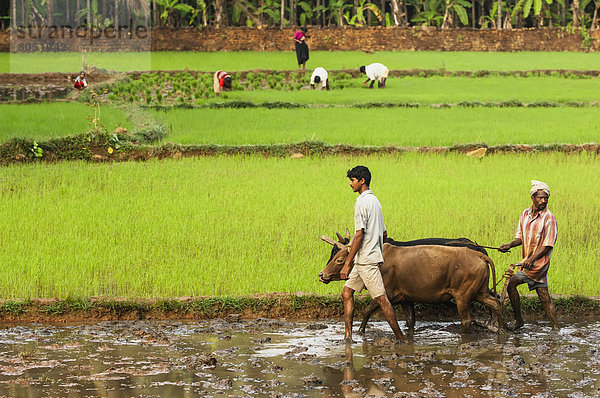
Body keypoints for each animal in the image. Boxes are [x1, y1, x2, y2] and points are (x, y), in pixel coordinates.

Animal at [318, 232, 506, 334]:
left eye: (339, 258)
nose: (322, 274)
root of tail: (479, 252)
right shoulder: (406, 299)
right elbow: (409, 321)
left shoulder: (386, 293)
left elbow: (368, 310)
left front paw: (360, 331)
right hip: (479, 293)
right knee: (496, 303)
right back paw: (502, 329)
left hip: (462, 297)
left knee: (467, 319)